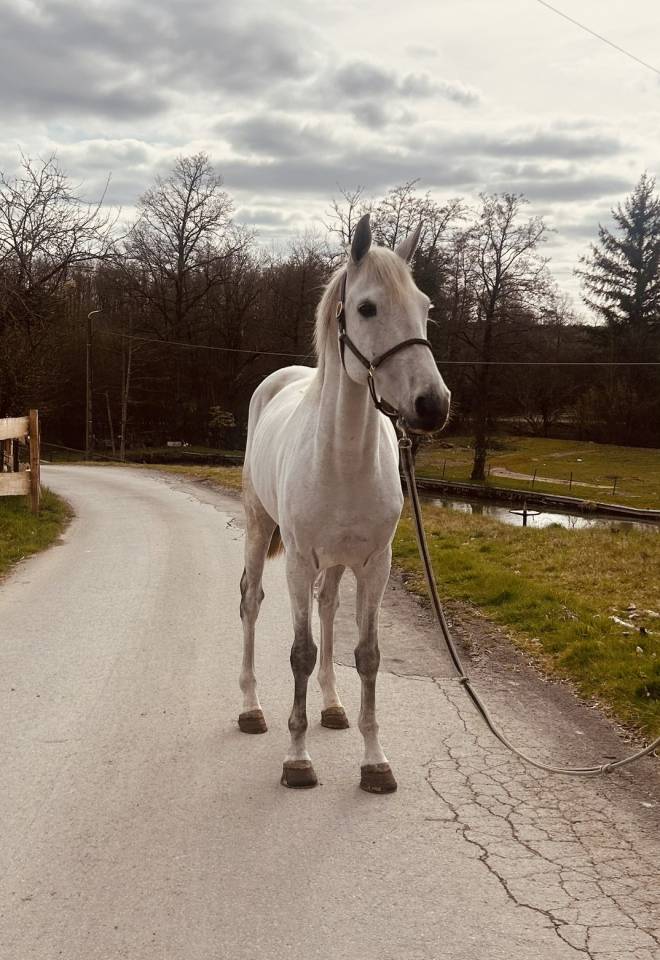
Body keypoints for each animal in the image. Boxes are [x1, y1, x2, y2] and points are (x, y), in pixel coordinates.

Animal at [238, 213, 450, 793]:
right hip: (258, 526)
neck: (344, 456)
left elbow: (367, 656)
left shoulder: (375, 564)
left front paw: (375, 760)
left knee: (329, 607)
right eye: (367, 307)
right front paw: (297, 757)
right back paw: (250, 707)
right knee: (250, 602)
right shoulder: (298, 559)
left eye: (425, 307)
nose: (432, 405)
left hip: (335, 563)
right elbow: (301, 653)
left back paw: (332, 707)